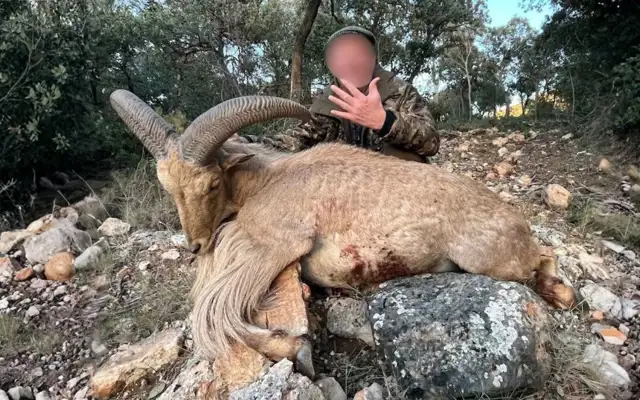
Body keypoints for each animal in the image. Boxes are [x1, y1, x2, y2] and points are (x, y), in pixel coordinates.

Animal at [109, 89, 578, 376]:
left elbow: (216, 317)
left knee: (542, 256)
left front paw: (293, 348)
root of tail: (514, 218)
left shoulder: (274, 247)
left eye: (208, 185)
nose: (196, 245)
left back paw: (558, 291)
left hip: (492, 260)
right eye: (168, 187)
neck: (264, 182)